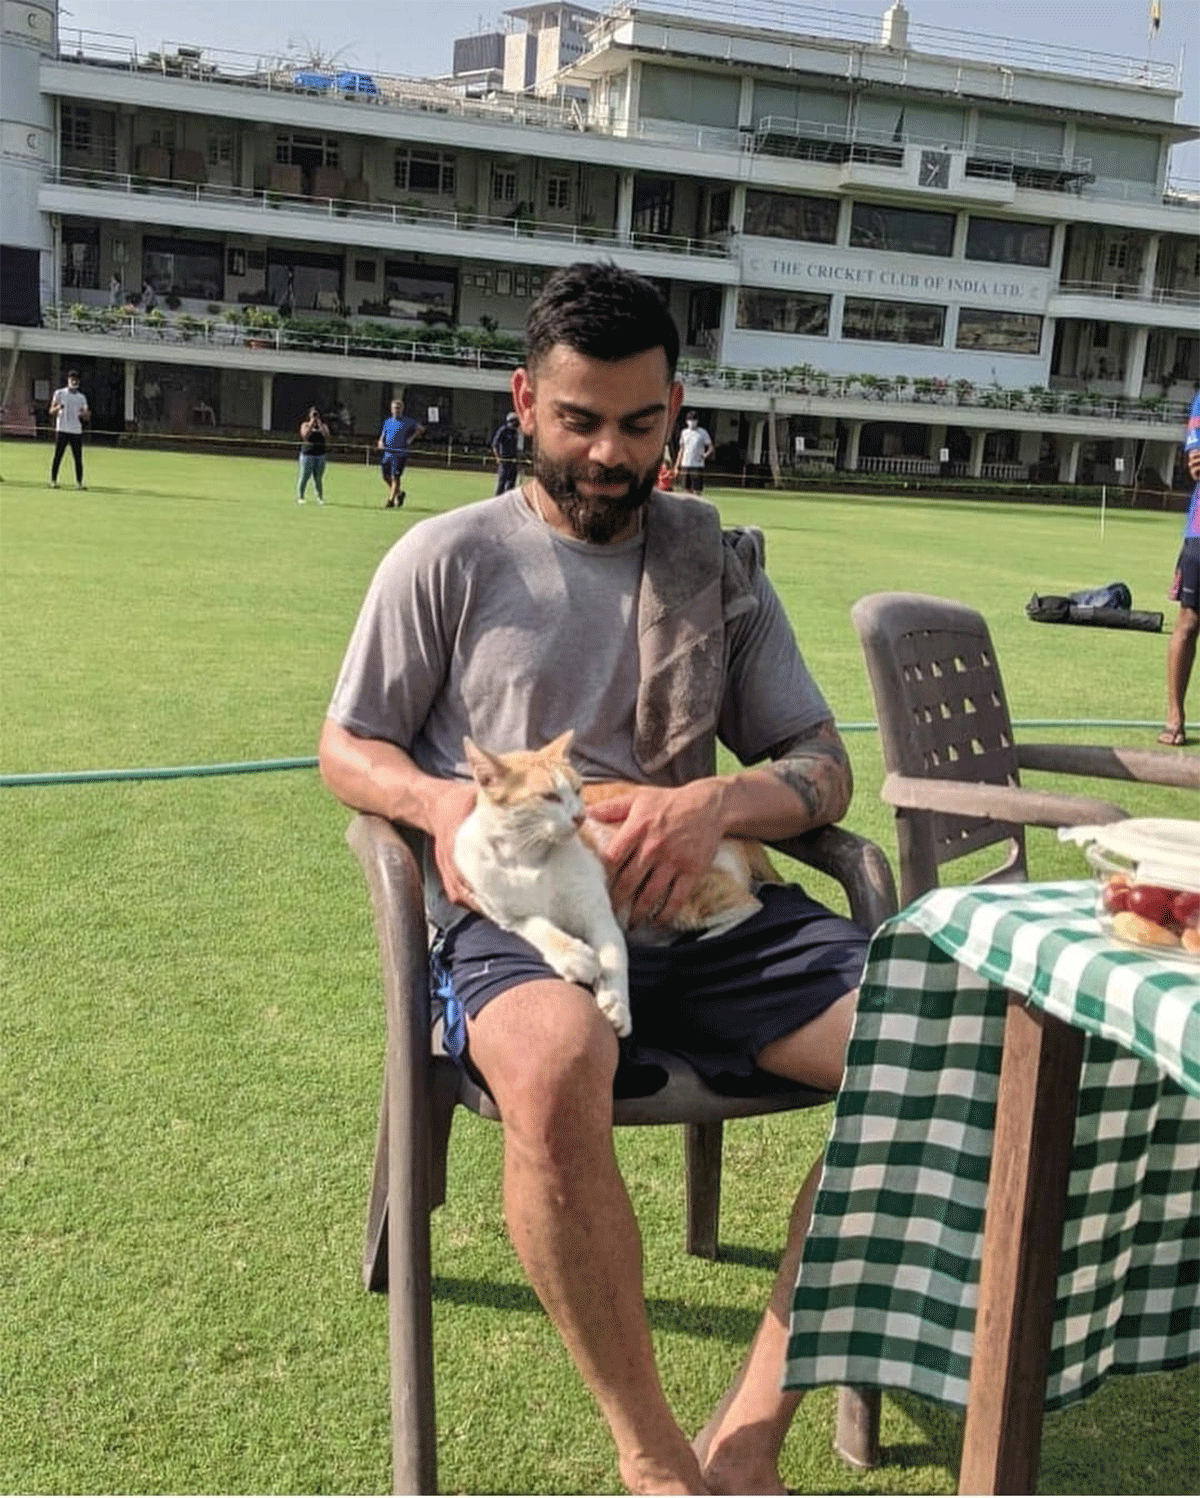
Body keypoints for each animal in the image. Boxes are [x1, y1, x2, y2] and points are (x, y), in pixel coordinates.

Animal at [452, 731, 779, 1036]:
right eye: (549, 797)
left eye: (578, 790)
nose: (580, 817)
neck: (527, 855)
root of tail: (745, 839)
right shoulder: (504, 913)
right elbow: (537, 926)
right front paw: (575, 957)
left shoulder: (599, 914)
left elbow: (614, 956)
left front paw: (617, 1005)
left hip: (675, 893)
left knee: (751, 902)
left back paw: (702, 936)